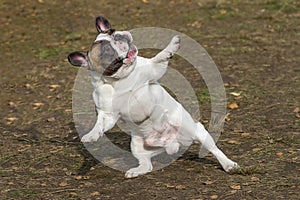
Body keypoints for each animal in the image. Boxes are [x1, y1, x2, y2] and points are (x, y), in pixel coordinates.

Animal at [68, 16, 239, 178]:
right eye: (106, 51)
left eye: (112, 31)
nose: (118, 36)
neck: (120, 80)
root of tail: (172, 144)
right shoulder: (108, 114)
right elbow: (99, 124)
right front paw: (91, 135)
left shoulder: (153, 69)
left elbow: (159, 56)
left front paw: (173, 45)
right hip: (137, 145)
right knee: (147, 164)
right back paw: (137, 170)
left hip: (197, 131)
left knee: (214, 149)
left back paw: (229, 164)